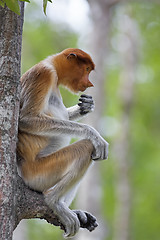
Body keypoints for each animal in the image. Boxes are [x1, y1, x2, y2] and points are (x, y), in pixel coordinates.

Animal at [16, 48, 108, 238]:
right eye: (86, 69)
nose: (89, 83)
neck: (53, 68)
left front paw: (86, 106)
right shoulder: (43, 74)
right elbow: (27, 119)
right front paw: (93, 133)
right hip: (39, 173)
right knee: (87, 147)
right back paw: (54, 201)